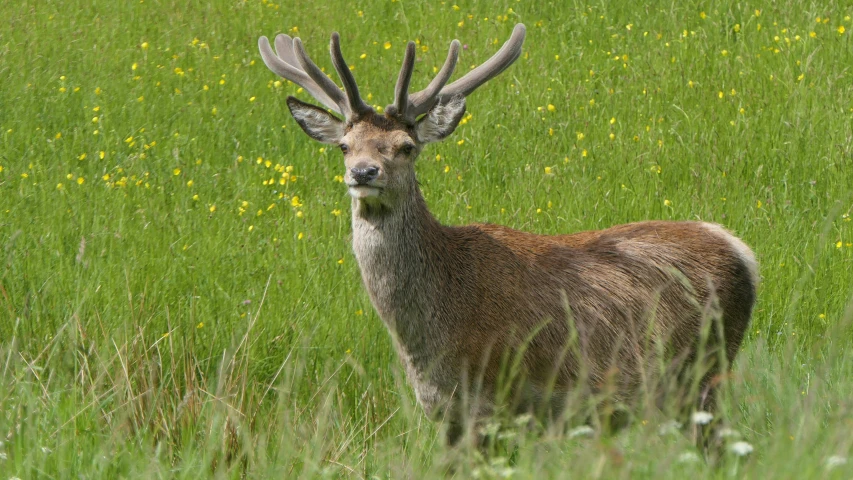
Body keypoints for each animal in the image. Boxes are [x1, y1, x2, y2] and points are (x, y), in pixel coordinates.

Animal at [256, 24, 756, 446]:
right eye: (344, 145)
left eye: (406, 147)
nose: (363, 172)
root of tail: (742, 252)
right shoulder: (447, 414)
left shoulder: (491, 403)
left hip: (698, 376)